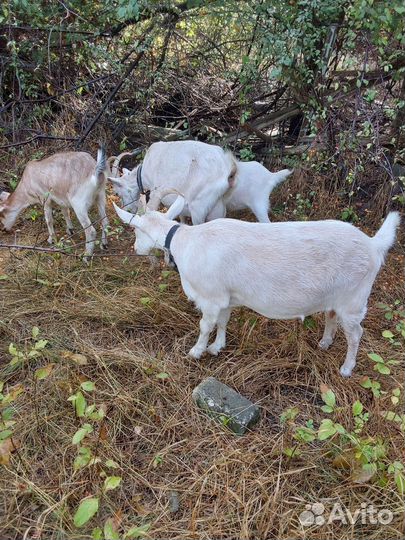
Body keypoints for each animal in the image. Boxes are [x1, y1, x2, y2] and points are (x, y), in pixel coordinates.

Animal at [107, 141, 235, 224]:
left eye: (117, 193)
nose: (128, 210)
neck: (143, 173)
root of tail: (227, 169)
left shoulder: (156, 192)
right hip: (218, 206)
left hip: (198, 207)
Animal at [113, 196, 398, 378]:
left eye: (136, 232)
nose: (134, 249)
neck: (184, 242)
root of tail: (373, 245)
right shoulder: (225, 297)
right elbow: (223, 322)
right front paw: (217, 347)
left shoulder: (210, 297)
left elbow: (205, 326)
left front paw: (196, 351)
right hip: (337, 296)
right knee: (331, 316)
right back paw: (325, 343)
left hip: (354, 298)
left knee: (356, 334)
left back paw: (347, 368)